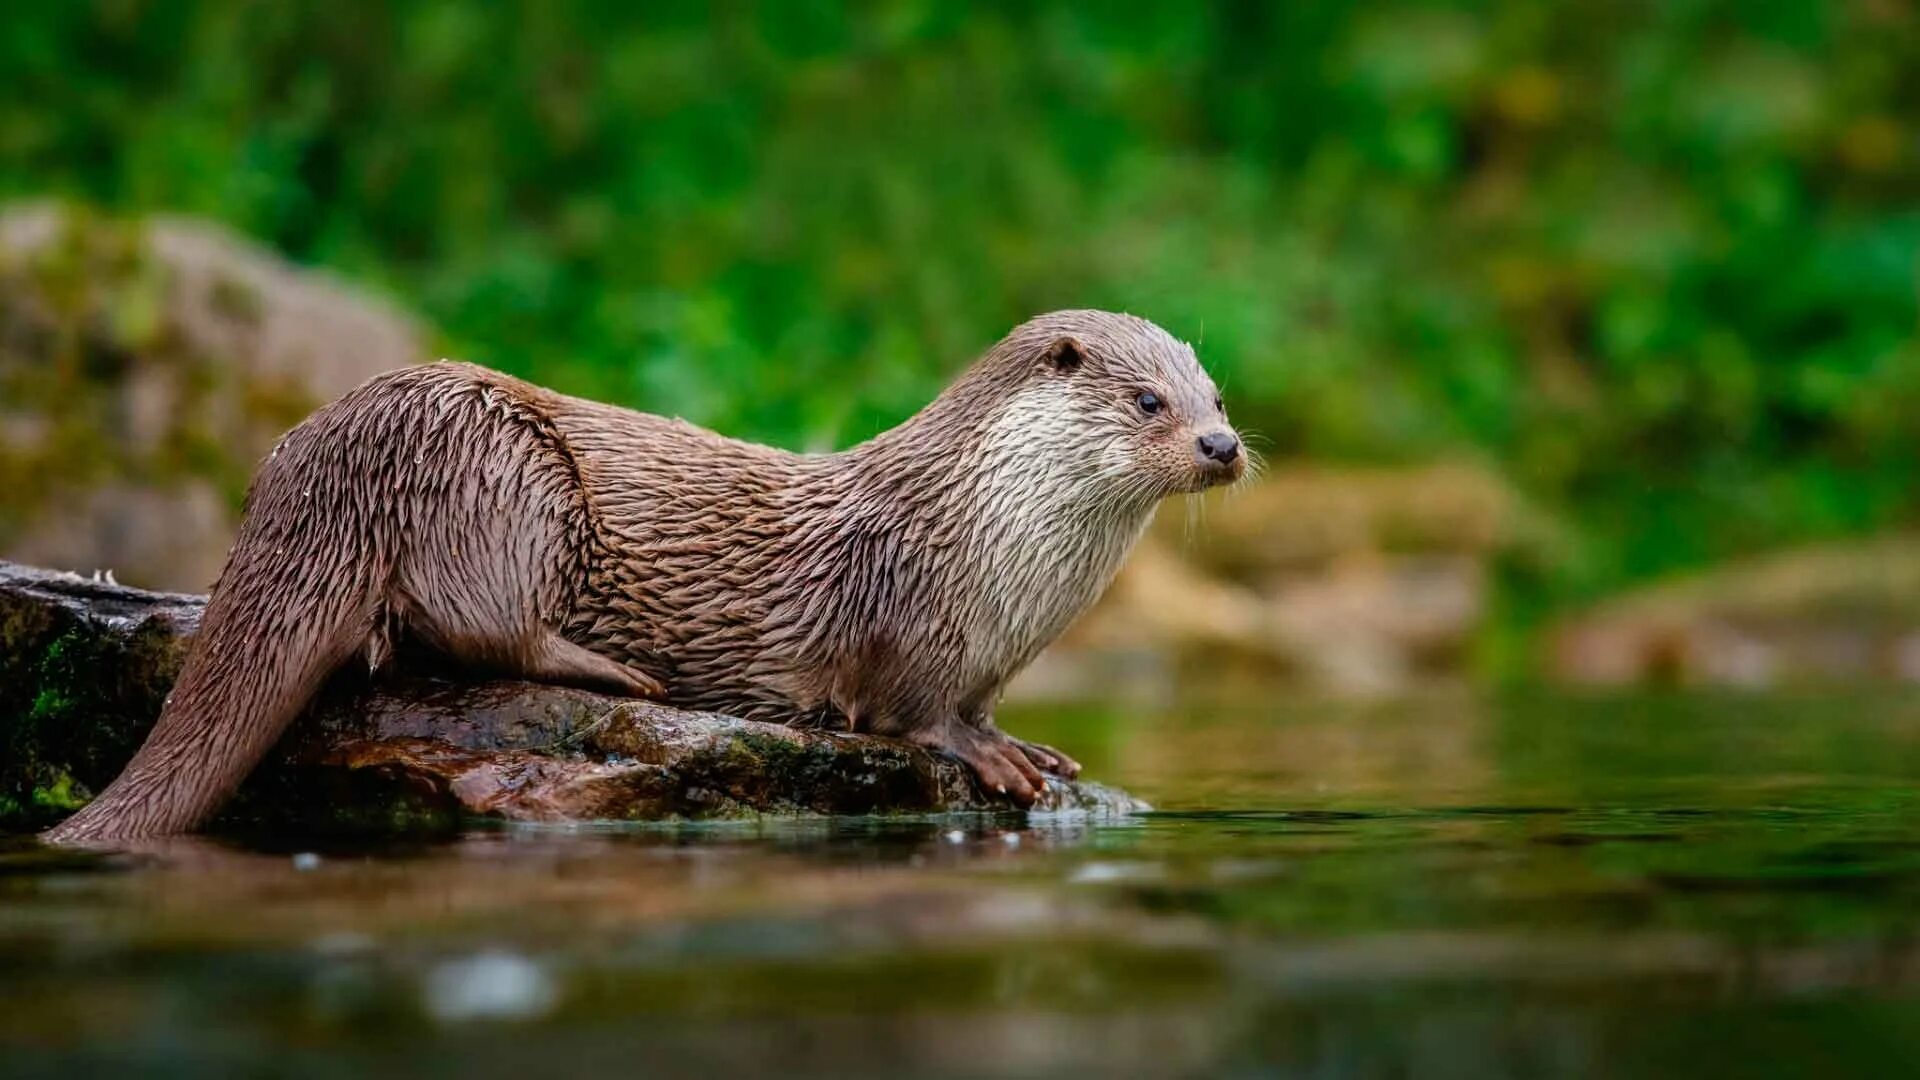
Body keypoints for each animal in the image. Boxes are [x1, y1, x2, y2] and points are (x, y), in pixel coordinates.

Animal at [48, 307, 1244, 837]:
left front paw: (1031, 745)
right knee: (482, 626)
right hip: (499, 472)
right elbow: (912, 714)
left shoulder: (991, 653)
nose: (1223, 446)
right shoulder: (903, 618)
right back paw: (616, 673)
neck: (988, 546)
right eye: (1150, 401)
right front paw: (989, 757)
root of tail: (317, 453)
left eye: (1217, 395)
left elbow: (984, 708)